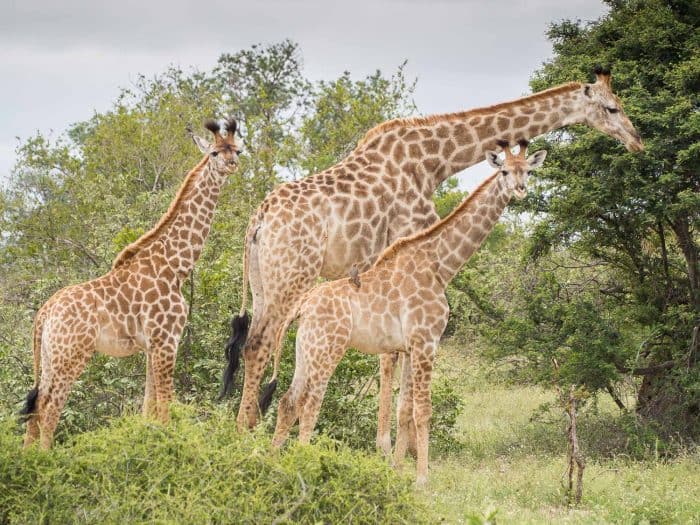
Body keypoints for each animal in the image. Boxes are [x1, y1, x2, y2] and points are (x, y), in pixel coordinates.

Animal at [17, 117, 242, 446]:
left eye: (237, 149)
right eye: (214, 152)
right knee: (49, 407)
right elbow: (165, 406)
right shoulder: (166, 339)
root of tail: (44, 313)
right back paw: (44, 455)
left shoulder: (151, 345)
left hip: (48, 356)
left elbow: (148, 408)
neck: (175, 265)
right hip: (71, 354)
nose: (232, 164)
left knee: (35, 408)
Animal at [226, 66, 644, 434]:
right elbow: (394, 359)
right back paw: (246, 430)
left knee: (250, 344)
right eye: (612, 108)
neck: (435, 158)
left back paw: (243, 425)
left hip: (263, 280)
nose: (636, 142)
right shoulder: (410, 238)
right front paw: (392, 448)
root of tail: (257, 220)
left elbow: (390, 355)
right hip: (294, 274)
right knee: (261, 343)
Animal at [268, 141, 548, 486]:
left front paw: (398, 471)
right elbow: (423, 410)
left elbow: (404, 411)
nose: (520, 189)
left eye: (529, 171)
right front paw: (422, 479)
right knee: (311, 405)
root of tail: (303, 305)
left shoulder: (408, 346)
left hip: (305, 349)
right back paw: (304, 463)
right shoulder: (426, 341)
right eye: (505, 171)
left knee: (288, 401)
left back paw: (271, 461)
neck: (441, 266)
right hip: (328, 348)